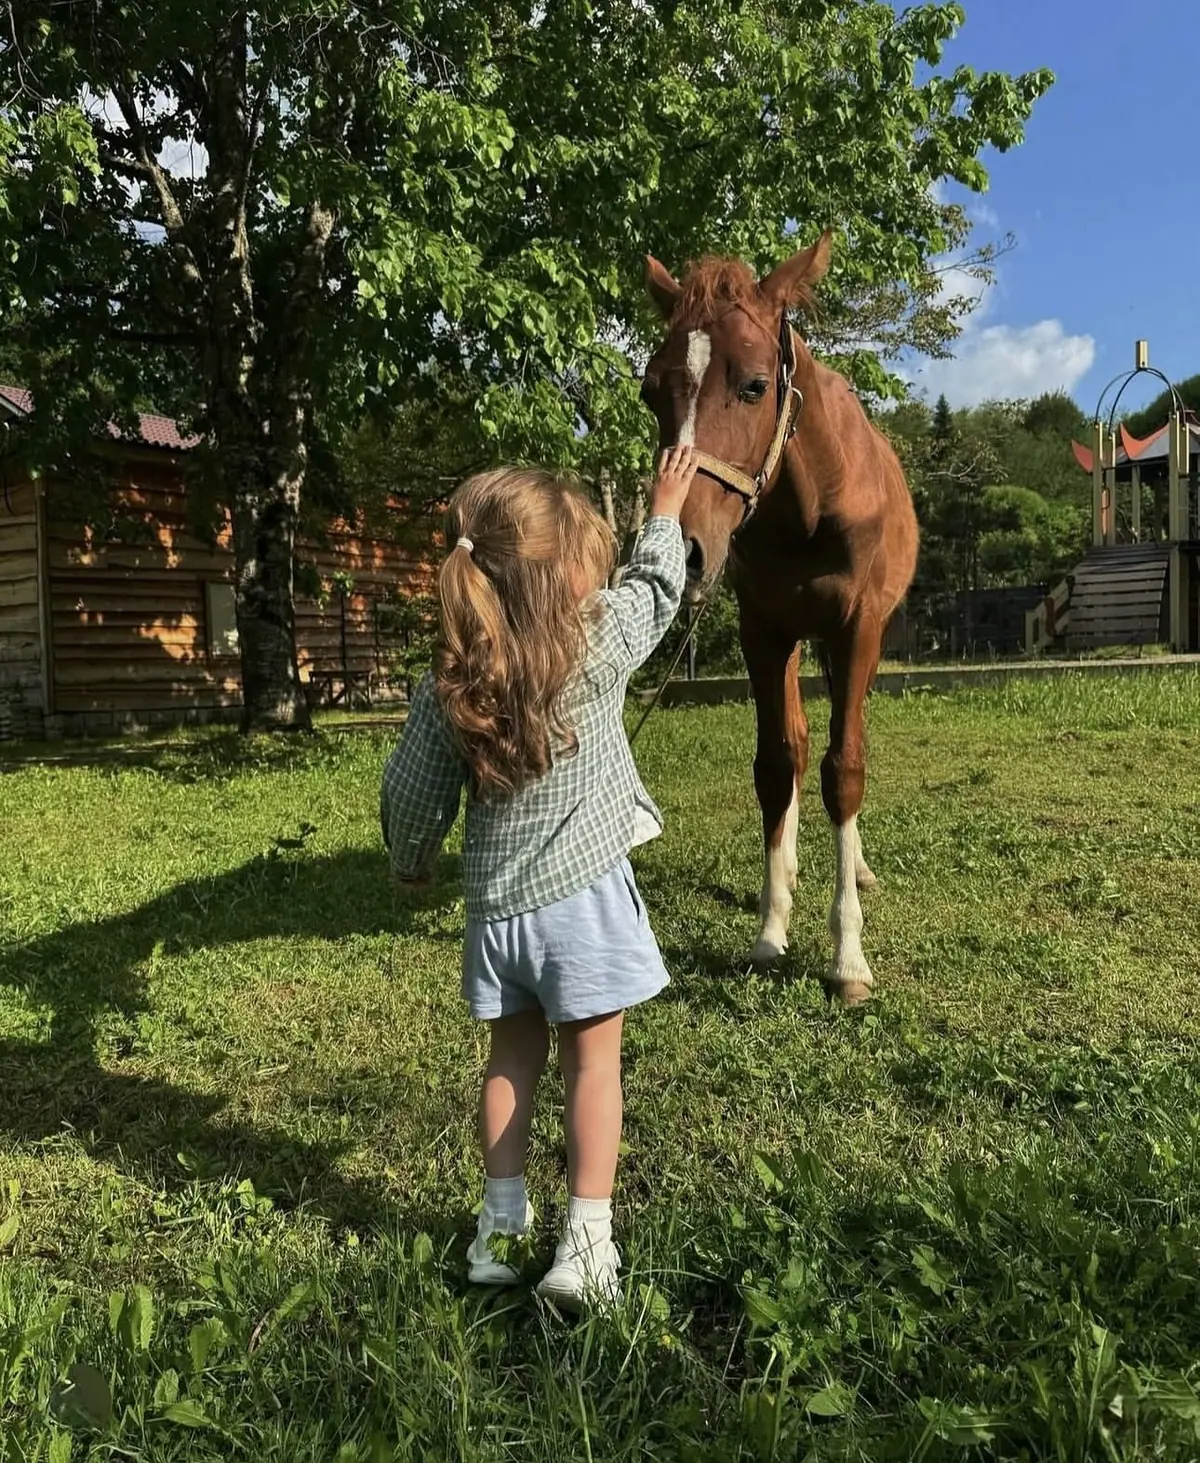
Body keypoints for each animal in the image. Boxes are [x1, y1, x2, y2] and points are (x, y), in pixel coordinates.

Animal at [640, 231, 918, 1003]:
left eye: (755, 385)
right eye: (650, 391)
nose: (684, 550)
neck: (810, 503)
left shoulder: (856, 629)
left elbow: (846, 767)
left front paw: (847, 958)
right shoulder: (763, 629)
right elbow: (774, 764)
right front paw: (771, 929)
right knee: (794, 742)